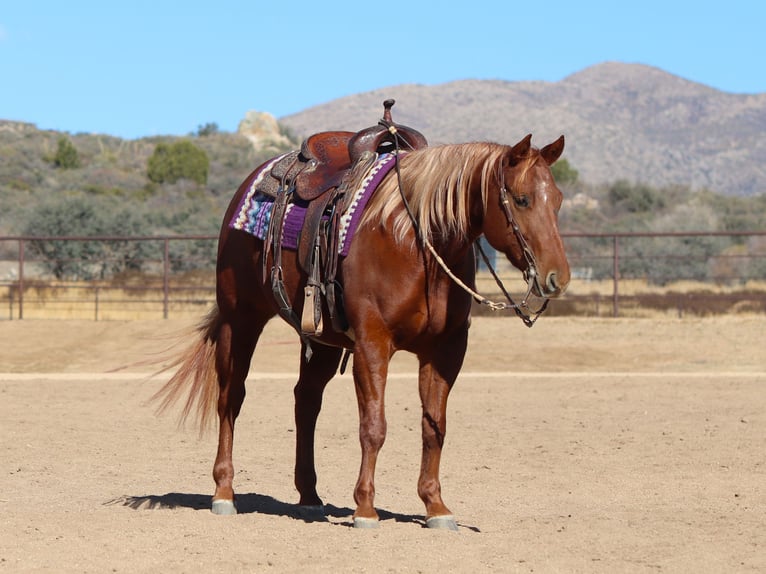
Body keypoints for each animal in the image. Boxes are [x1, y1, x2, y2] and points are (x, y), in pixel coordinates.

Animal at [154, 129, 568, 532]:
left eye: (558, 201)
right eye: (522, 199)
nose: (557, 277)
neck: (415, 241)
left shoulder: (446, 350)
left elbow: (434, 427)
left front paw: (435, 506)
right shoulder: (373, 343)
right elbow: (374, 426)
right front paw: (365, 509)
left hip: (321, 341)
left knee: (306, 402)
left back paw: (309, 497)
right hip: (240, 319)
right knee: (231, 398)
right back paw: (224, 492)